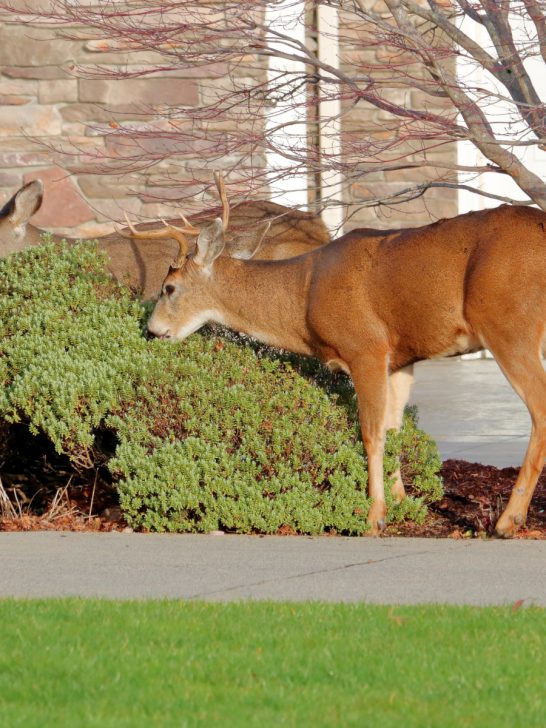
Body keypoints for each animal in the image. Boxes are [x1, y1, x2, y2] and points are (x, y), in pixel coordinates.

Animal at [134, 198, 546, 538]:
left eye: (169, 288)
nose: (152, 329)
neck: (303, 294)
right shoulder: (400, 360)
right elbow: (394, 429)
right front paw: (401, 505)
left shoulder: (366, 347)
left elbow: (371, 434)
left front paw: (373, 517)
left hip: (510, 324)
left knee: (539, 410)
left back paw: (508, 521)